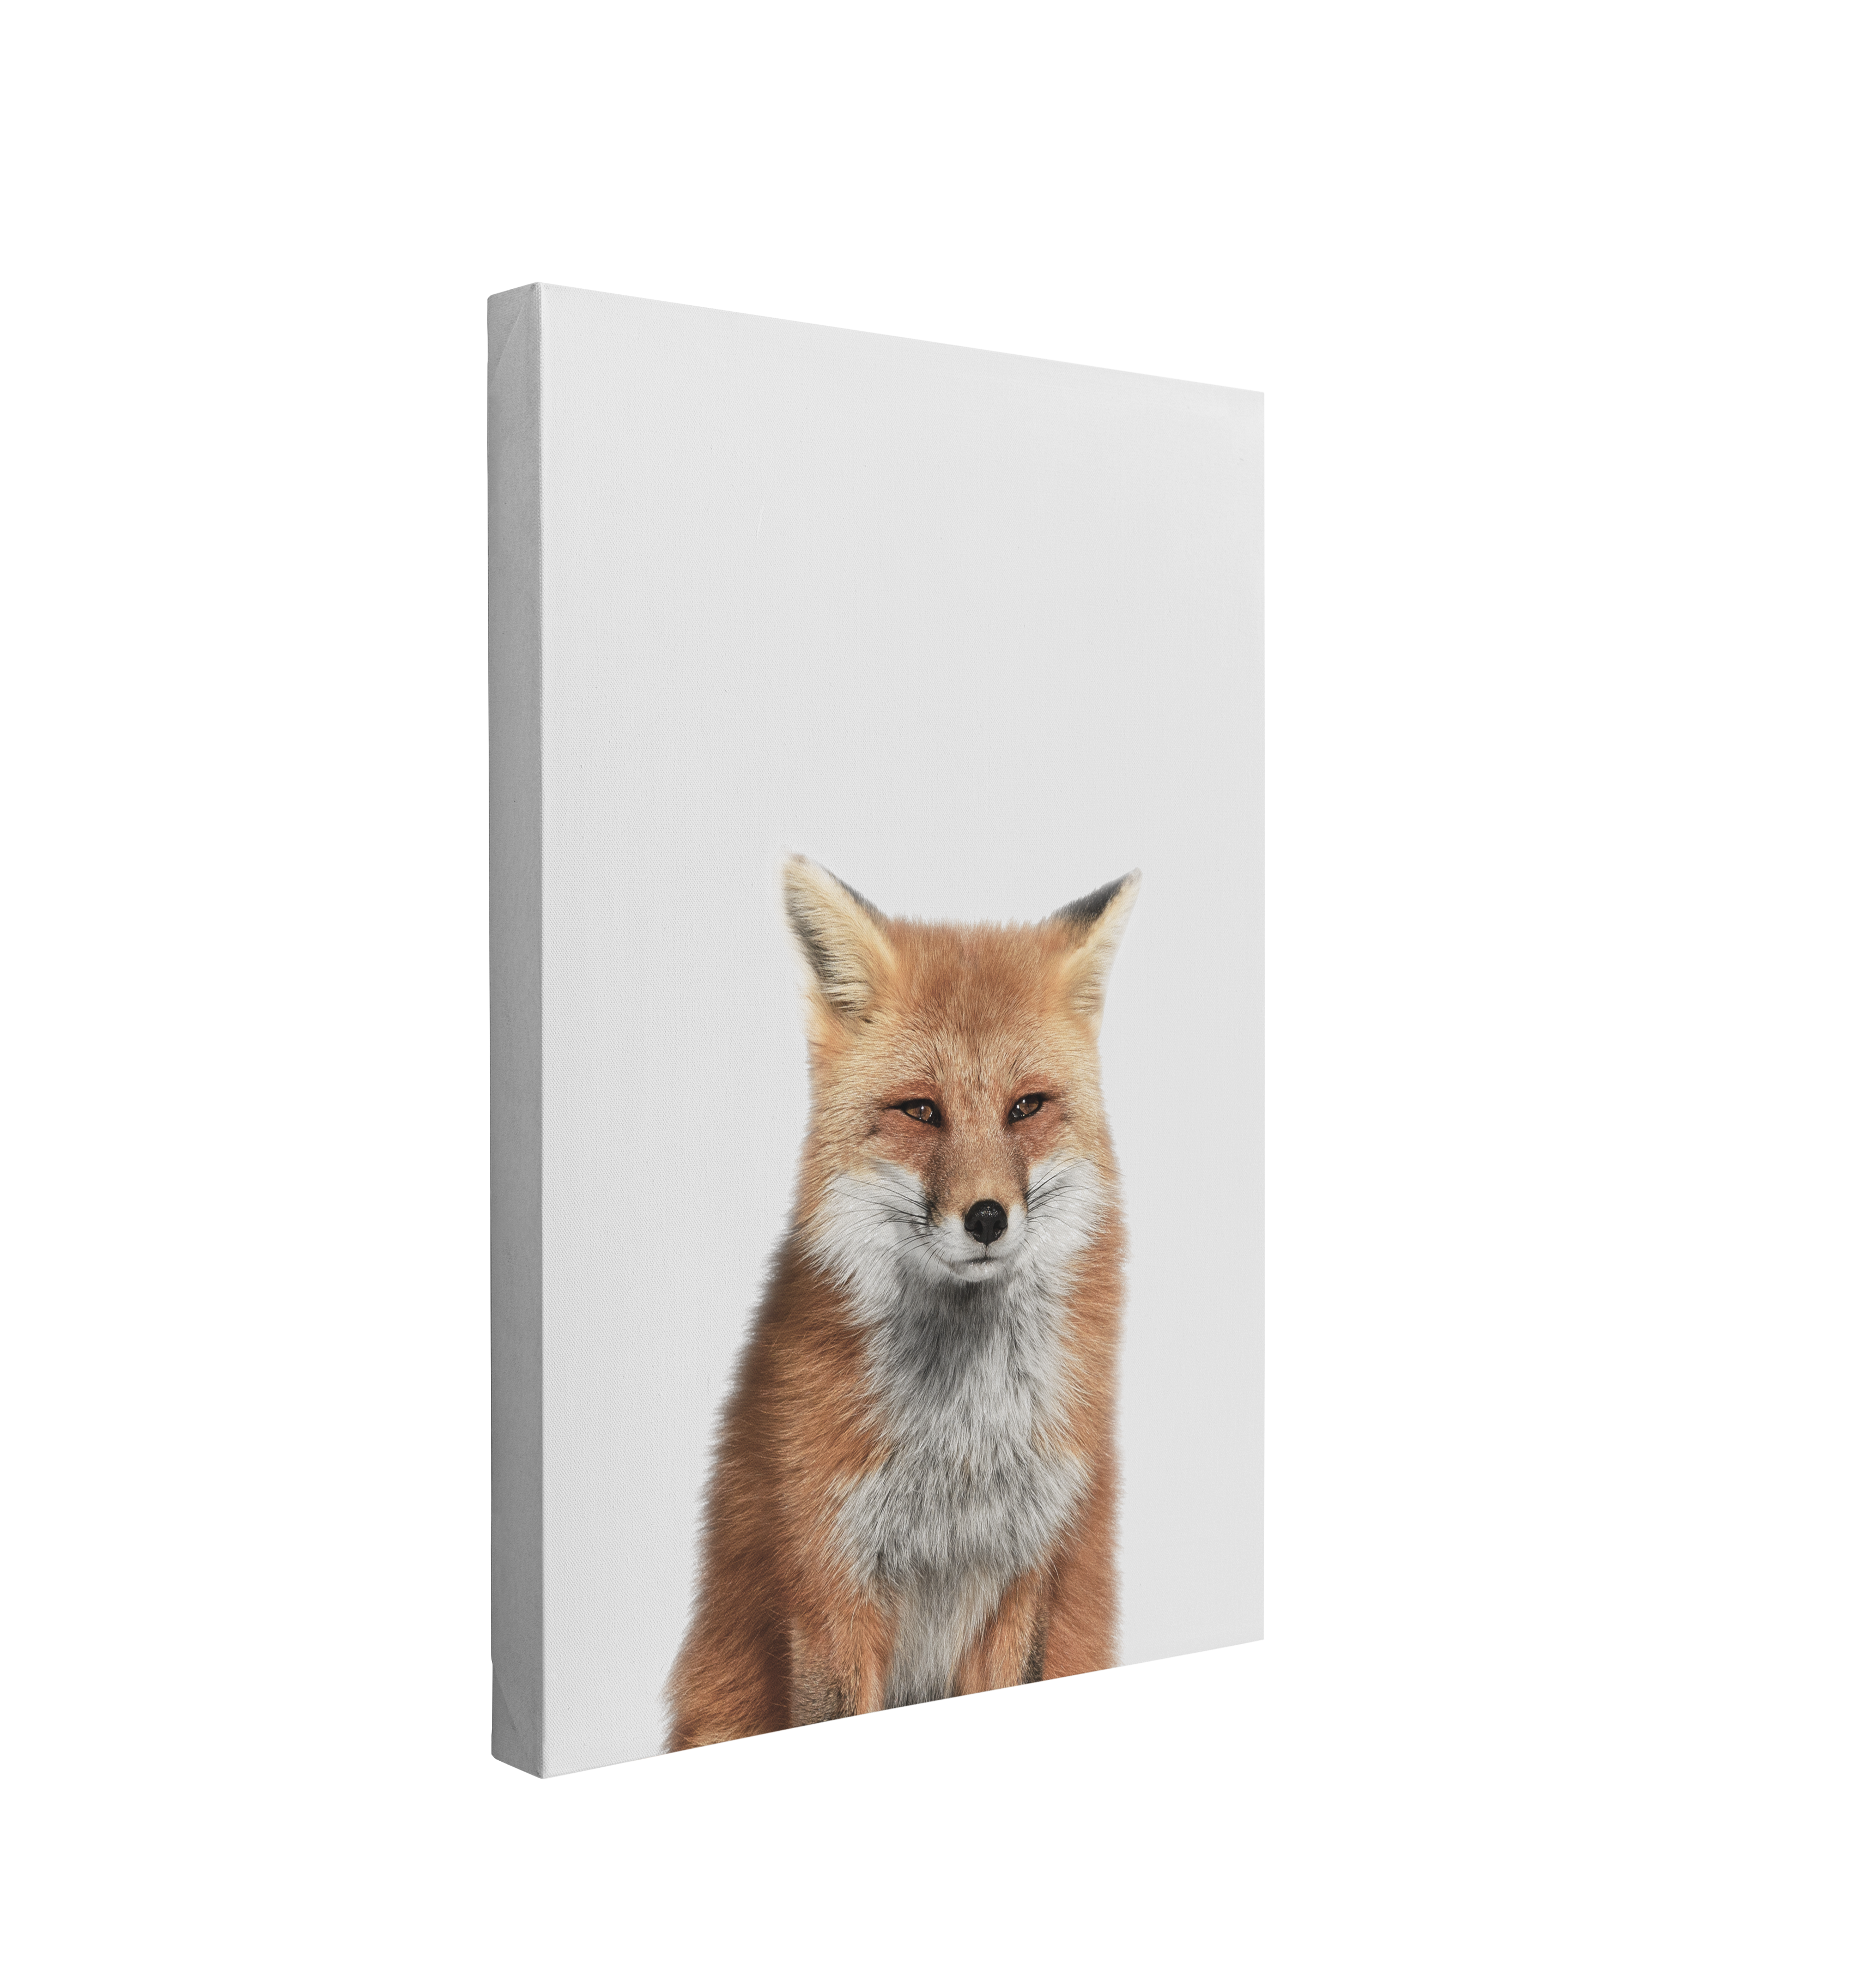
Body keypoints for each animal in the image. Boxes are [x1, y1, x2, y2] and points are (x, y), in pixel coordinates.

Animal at [664, 855, 1140, 1751]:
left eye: (1026, 1107)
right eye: (921, 1110)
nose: (987, 1218)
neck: (959, 1450)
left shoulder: (1020, 1578)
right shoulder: (830, 1583)